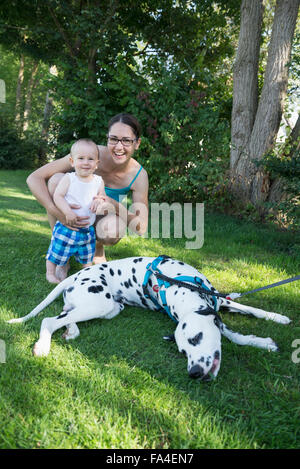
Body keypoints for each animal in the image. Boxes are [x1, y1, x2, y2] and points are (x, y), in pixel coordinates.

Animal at [8, 256, 290, 380]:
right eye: (183, 352)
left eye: (196, 338)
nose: (194, 372)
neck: (184, 287)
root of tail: (75, 275)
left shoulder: (219, 301)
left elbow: (247, 315)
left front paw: (273, 326)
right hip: (100, 303)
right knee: (49, 320)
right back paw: (43, 346)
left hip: (106, 308)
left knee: (65, 314)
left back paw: (71, 331)